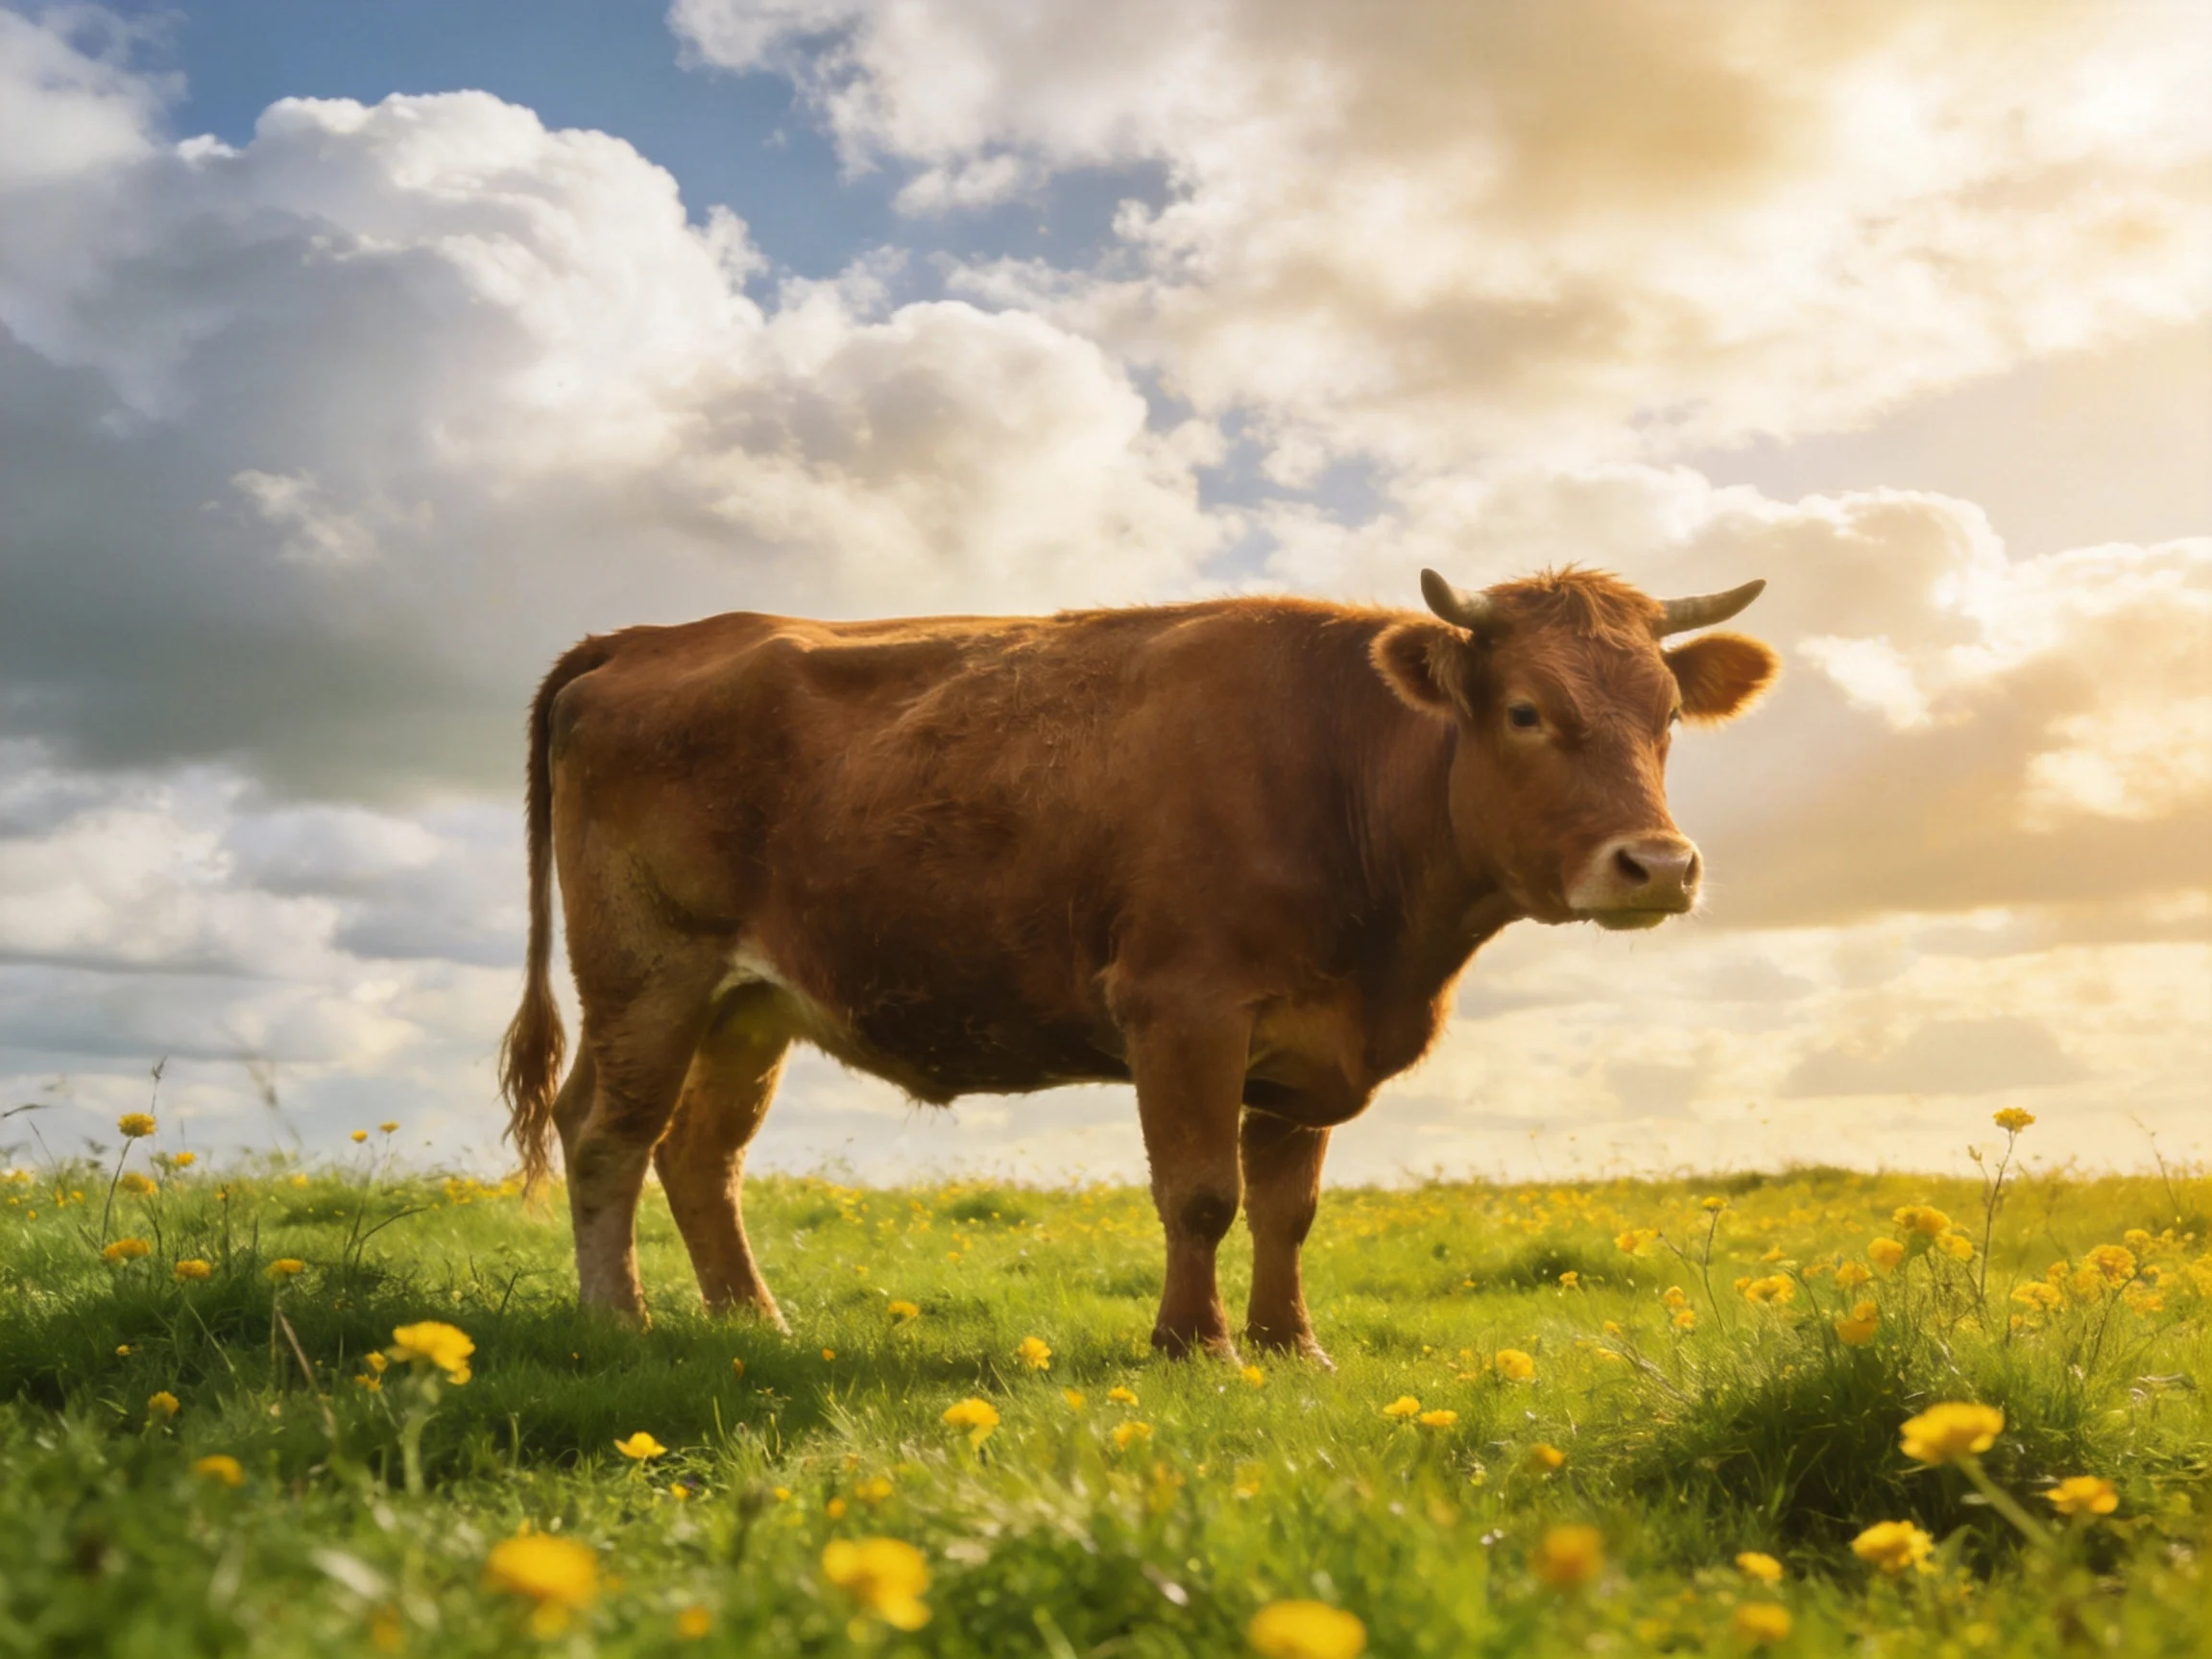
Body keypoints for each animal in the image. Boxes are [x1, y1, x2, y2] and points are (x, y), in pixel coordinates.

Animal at [498, 567, 1777, 1364]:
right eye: (1524, 710)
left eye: (1667, 716)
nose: (1658, 865)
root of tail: (649, 637)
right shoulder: (1184, 1007)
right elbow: (1201, 1193)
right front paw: (1192, 1346)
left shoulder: (1307, 1041)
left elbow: (1289, 1207)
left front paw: (1291, 1346)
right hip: (647, 972)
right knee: (608, 1135)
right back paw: (621, 1323)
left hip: (749, 1003)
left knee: (699, 1154)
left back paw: (752, 1323)